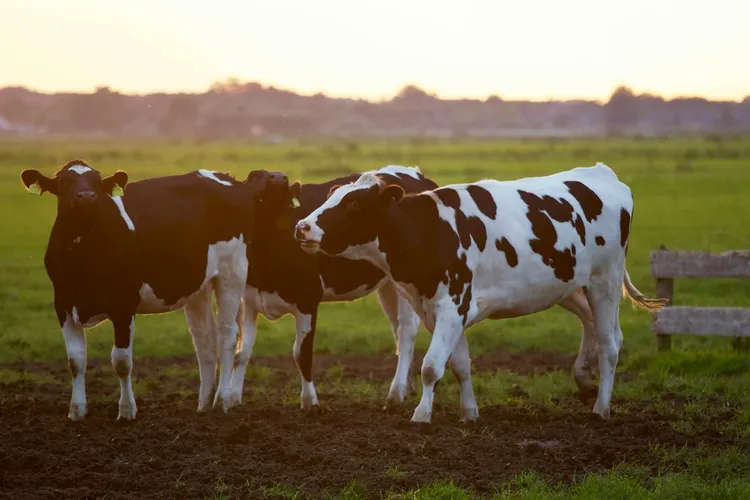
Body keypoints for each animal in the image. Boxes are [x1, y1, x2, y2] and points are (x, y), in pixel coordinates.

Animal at [22, 160, 268, 418]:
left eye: (97, 183)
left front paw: (127, 411)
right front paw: (77, 411)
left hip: (232, 273)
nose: (87, 197)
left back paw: (221, 401)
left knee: (227, 334)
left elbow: (121, 361)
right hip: (198, 285)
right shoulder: (63, 304)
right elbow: (75, 360)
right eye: (64, 182)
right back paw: (203, 404)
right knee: (204, 339)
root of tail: (231, 180)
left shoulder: (123, 305)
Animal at [232, 166, 438, 408]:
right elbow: (242, 352)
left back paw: (396, 392)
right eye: (254, 177)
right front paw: (231, 398)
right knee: (397, 329)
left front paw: (309, 402)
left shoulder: (308, 299)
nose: (279, 177)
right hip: (389, 285)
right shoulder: (249, 300)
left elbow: (301, 354)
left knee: (406, 331)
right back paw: (407, 386)